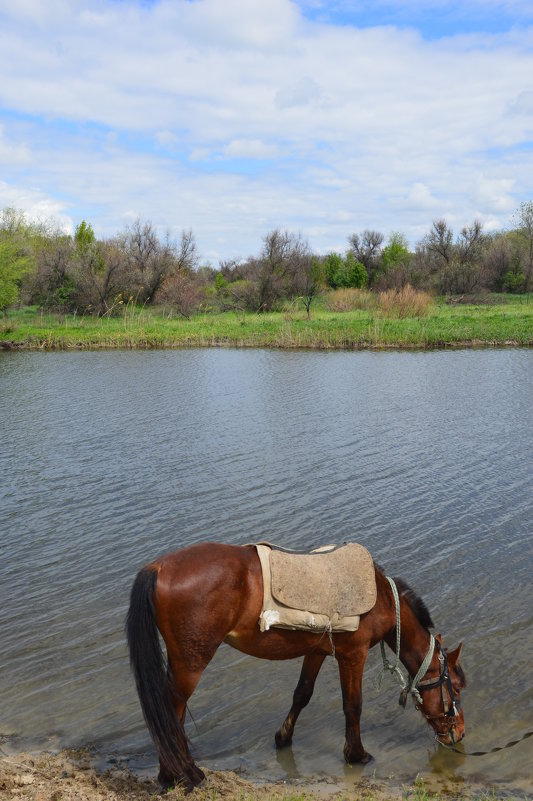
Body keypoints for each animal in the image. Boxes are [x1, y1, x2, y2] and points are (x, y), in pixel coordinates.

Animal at [125, 540, 466, 792]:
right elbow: (353, 705)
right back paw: (182, 774)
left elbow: (302, 693)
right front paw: (356, 755)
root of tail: (158, 567)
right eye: (458, 687)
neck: (381, 597)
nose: (459, 733)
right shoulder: (353, 655)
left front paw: (283, 738)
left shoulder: (317, 651)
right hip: (191, 664)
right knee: (171, 711)